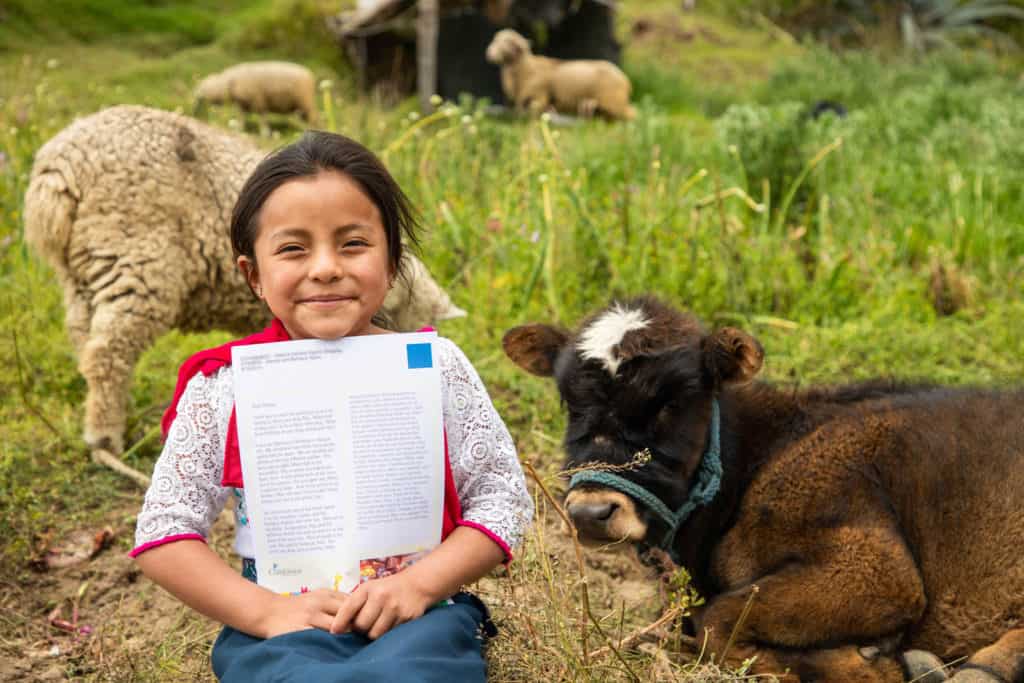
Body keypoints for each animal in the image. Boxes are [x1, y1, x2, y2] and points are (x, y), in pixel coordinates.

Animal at [24, 104, 464, 483]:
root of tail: (58, 170)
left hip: (84, 276)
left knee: (87, 347)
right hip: (136, 258)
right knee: (107, 354)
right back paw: (105, 441)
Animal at [485, 29, 634, 121]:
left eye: (508, 43)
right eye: (495, 40)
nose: (489, 53)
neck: (527, 68)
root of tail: (625, 79)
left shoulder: (539, 97)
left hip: (615, 102)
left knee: (632, 114)